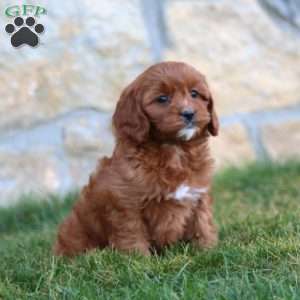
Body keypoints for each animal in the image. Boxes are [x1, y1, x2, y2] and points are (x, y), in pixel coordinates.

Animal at [54, 61, 218, 258]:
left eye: (194, 94)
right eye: (162, 99)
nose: (189, 113)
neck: (175, 150)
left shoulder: (198, 195)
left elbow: (202, 224)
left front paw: (208, 250)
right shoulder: (126, 205)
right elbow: (133, 235)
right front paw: (140, 260)